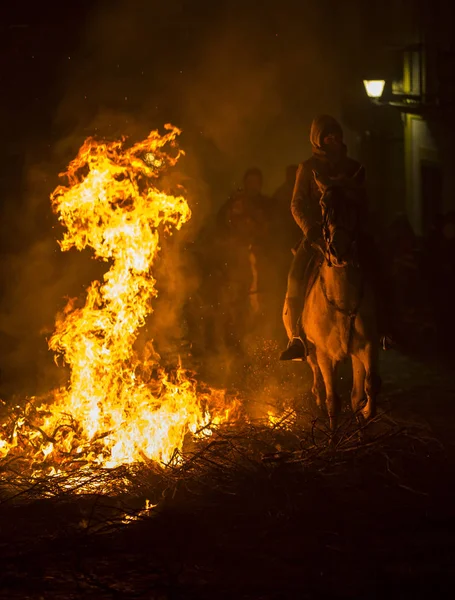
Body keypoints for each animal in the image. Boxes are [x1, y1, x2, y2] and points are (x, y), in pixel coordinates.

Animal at [296, 169, 382, 432]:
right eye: (323, 204)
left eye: (355, 202)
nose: (339, 250)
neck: (342, 301)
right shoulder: (324, 354)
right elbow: (333, 400)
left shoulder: (367, 347)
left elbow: (367, 390)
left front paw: (365, 420)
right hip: (312, 349)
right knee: (315, 373)